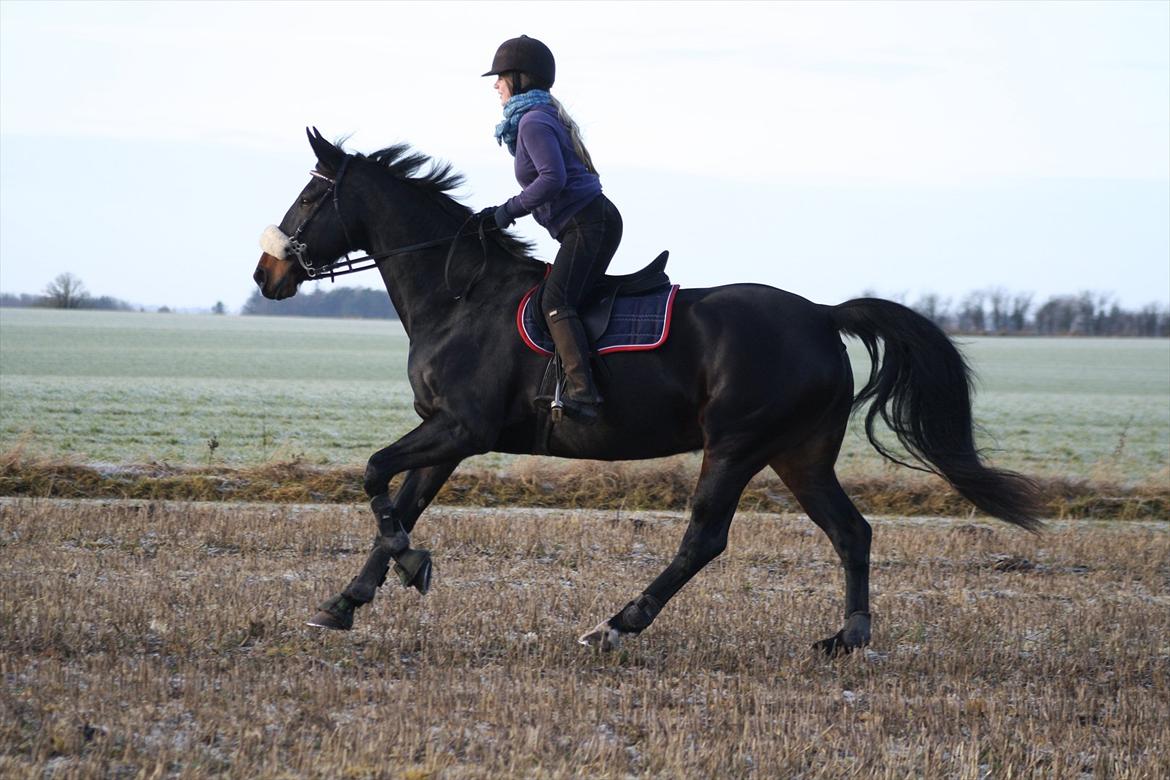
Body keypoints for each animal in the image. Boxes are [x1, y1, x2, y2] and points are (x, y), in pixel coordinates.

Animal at [256, 130, 1043, 654]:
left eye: (310, 195)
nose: (267, 274)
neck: (458, 294)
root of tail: (822, 315)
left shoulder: (462, 427)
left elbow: (374, 476)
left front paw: (409, 567)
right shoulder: (447, 436)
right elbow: (401, 503)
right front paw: (345, 601)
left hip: (737, 443)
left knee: (705, 537)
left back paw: (615, 624)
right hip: (799, 453)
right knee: (851, 532)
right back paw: (845, 637)